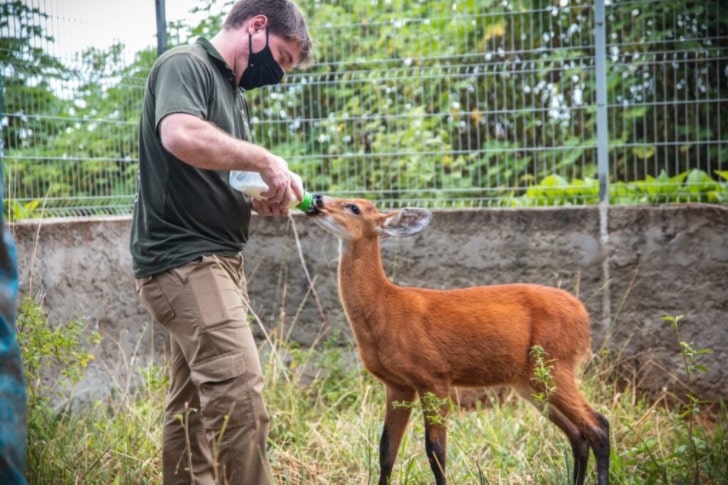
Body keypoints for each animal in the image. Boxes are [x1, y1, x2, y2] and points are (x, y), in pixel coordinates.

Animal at [305, 195, 610, 485]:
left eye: (353, 207)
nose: (316, 198)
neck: (386, 310)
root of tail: (583, 315)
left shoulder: (434, 375)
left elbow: (435, 452)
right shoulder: (398, 384)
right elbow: (386, 451)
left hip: (553, 363)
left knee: (598, 425)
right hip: (530, 381)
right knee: (577, 434)